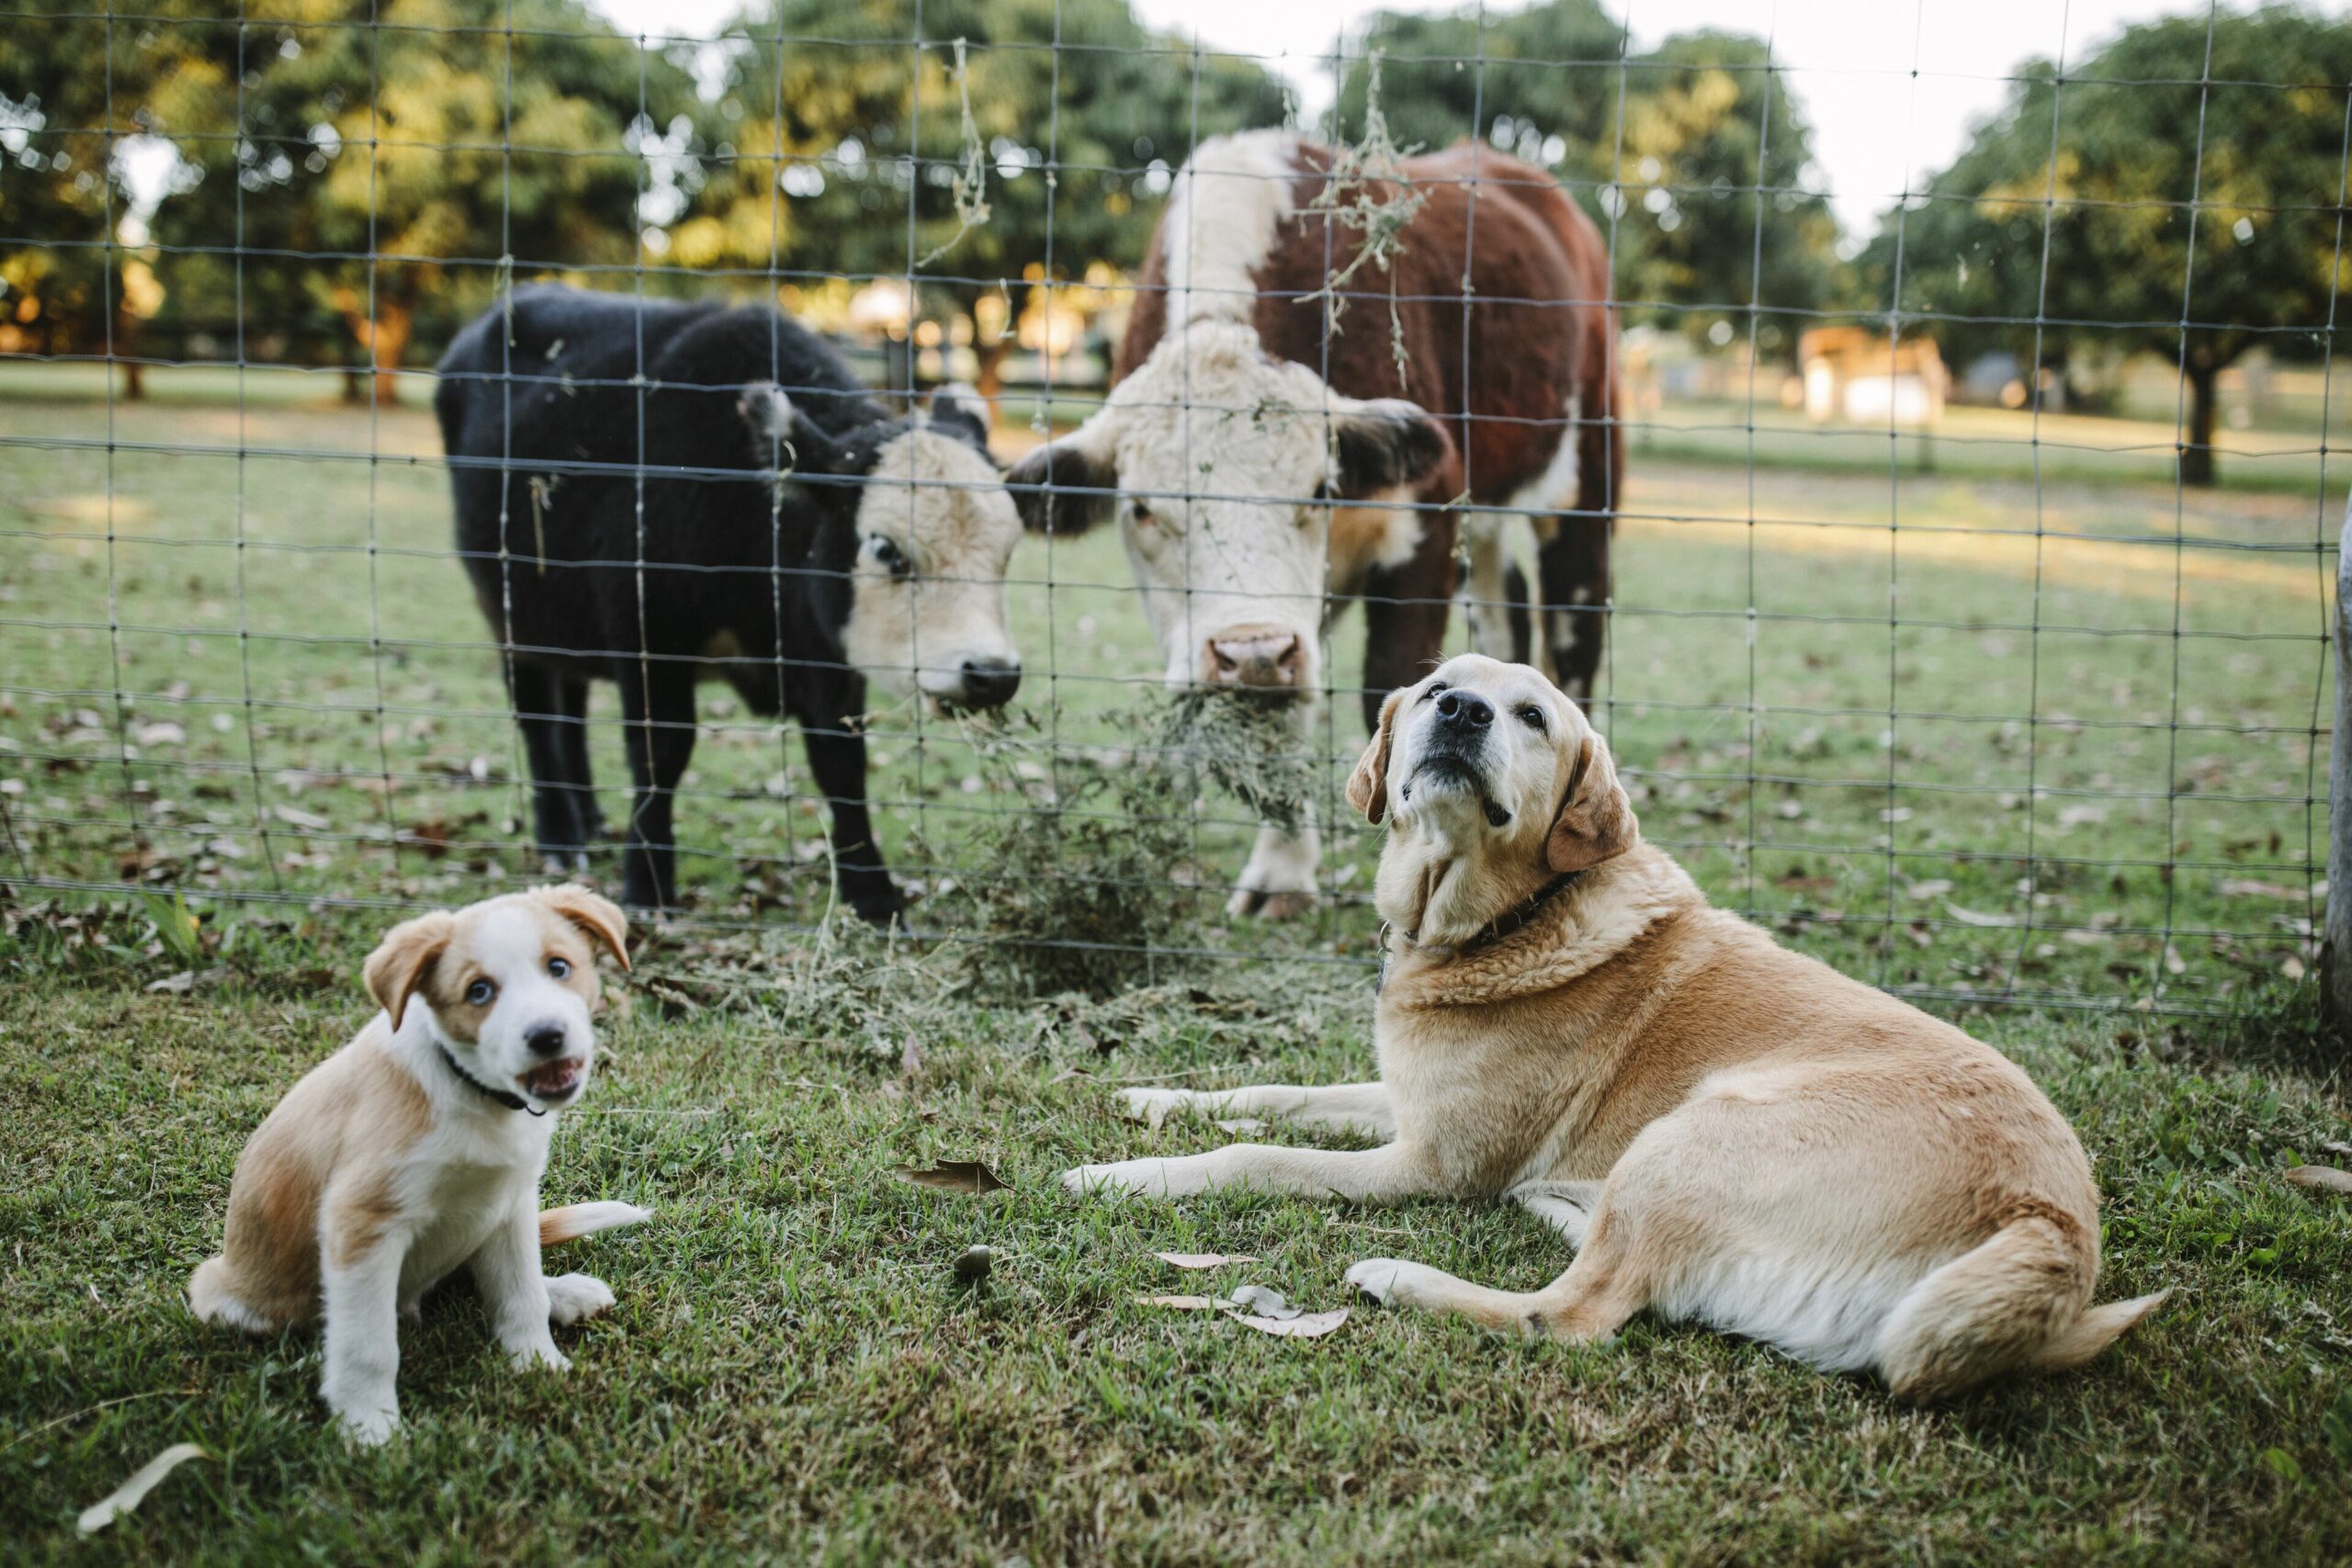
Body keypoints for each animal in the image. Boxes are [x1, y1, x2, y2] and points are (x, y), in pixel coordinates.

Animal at [189, 884, 649, 1448]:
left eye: (559, 966)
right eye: (479, 991)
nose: (546, 1036)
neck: (475, 1095)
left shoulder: (510, 1201)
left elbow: (520, 1291)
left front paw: (538, 1364)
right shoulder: (362, 1223)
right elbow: (367, 1345)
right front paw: (368, 1427)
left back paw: (565, 1293)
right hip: (227, 1292)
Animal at [437, 285, 1025, 921]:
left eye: (1009, 549)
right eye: (887, 550)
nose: (992, 674)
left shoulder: (826, 658)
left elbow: (840, 764)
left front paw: (871, 892)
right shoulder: (650, 637)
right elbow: (661, 753)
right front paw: (648, 884)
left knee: (569, 708)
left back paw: (588, 817)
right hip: (508, 610)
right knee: (537, 715)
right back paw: (559, 834)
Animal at [1011, 135, 1618, 921]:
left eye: (1321, 490)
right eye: (1141, 508)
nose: (1253, 650)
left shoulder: (1425, 529)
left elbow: (1393, 690)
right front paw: (1282, 873)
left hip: (1583, 475)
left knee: (1575, 622)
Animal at [1068, 658, 2164, 1401]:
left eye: (1531, 716)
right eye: (1435, 688)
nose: (1460, 712)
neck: (1496, 922)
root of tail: (2048, 1226)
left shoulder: (1430, 1163)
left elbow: (1255, 1154)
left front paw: (1119, 1175)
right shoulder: (1404, 1102)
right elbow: (1270, 1091)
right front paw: (1153, 1097)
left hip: (1693, 1134)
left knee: (1573, 1313)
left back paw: (1403, 1275)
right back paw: (1558, 1203)